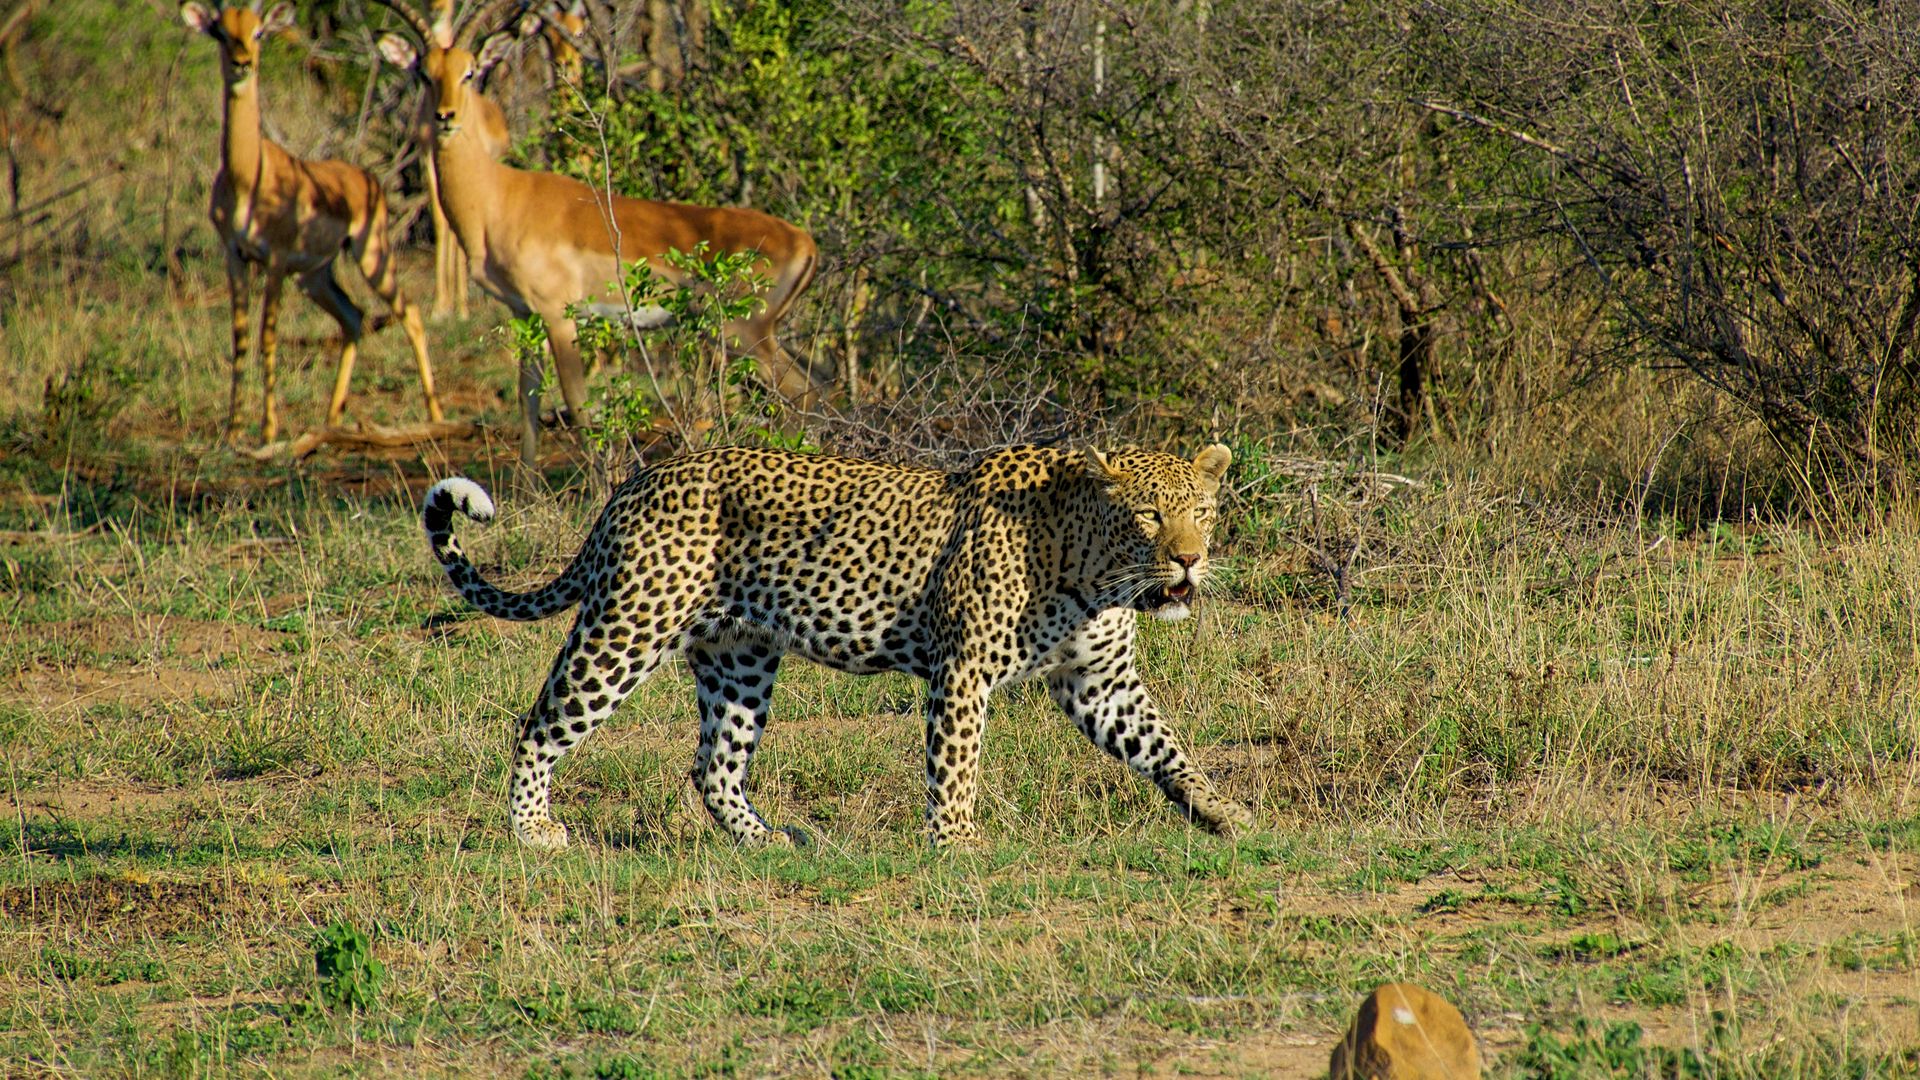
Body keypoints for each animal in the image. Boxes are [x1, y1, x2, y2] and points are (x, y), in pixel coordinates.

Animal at [179, 1, 435, 441]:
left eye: (259, 32)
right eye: (220, 31)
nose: (243, 63)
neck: (247, 176)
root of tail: (367, 179)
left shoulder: (276, 259)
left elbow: (267, 336)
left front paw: (267, 431)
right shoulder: (236, 256)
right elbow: (240, 338)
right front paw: (232, 432)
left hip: (371, 257)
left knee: (411, 313)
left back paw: (435, 416)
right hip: (314, 277)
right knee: (354, 317)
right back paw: (332, 420)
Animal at [370, 0, 821, 461]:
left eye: (470, 71)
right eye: (424, 73)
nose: (445, 117)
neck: (498, 197)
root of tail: (805, 242)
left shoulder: (559, 317)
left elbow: (579, 408)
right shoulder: (525, 315)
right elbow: (527, 406)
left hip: (744, 333)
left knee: (805, 394)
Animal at [424, 441, 1259, 845]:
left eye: (1202, 511)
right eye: (1148, 515)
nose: (1190, 559)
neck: (1096, 570)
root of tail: (634, 484)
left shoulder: (1100, 682)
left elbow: (1166, 746)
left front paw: (1222, 814)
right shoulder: (962, 671)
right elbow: (956, 768)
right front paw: (956, 845)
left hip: (739, 656)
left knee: (713, 766)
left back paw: (767, 842)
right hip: (628, 628)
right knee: (539, 724)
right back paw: (533, 831)